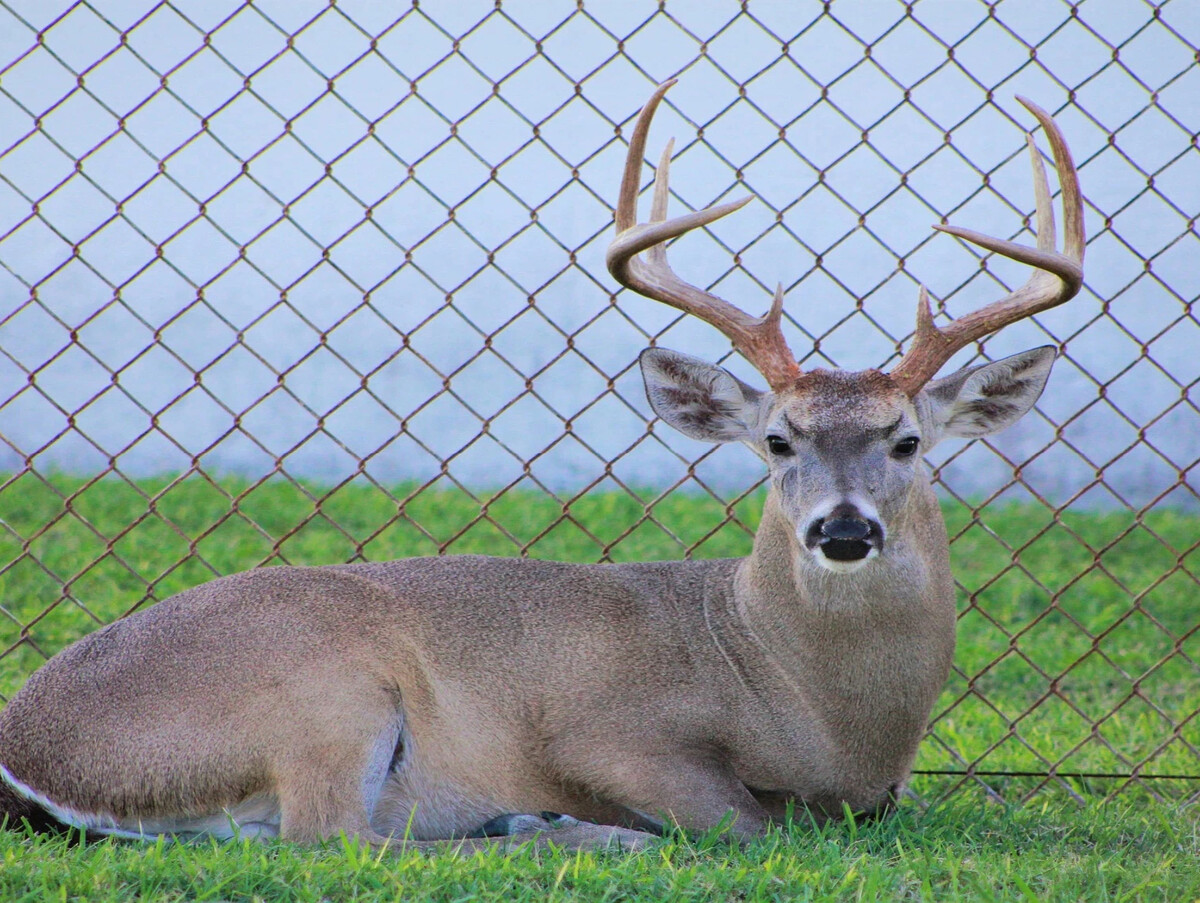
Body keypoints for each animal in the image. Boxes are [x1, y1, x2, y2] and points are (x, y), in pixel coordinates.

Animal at [0, 79, 1084, 854]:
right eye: (778, 440)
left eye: (907, 441)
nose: (845, 528)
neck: (817, 711)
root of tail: (28, 757)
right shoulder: (603, 730)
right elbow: (745, 819)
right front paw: (588, 818)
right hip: (324, 687)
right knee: (335, 838)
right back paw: (551, 828)